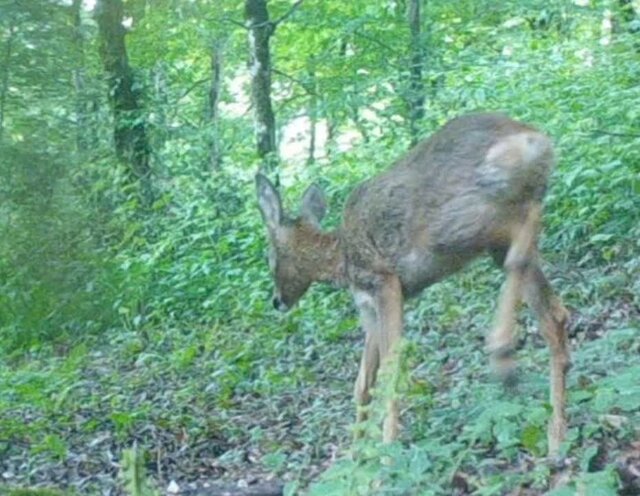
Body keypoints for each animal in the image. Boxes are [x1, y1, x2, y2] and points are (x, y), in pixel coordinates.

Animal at [255, 113, 568, 458]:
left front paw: (385, 454)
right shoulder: (368, 310)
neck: (342, 260)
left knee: (520, 240)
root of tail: (534, 140)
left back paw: (501, 353)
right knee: (554, 313)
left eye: (270, 257)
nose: (277, 301)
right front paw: (354, 455)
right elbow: (363, 383)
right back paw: (556, 438)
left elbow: (391, 370)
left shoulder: (386, 283)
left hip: (459, 222)